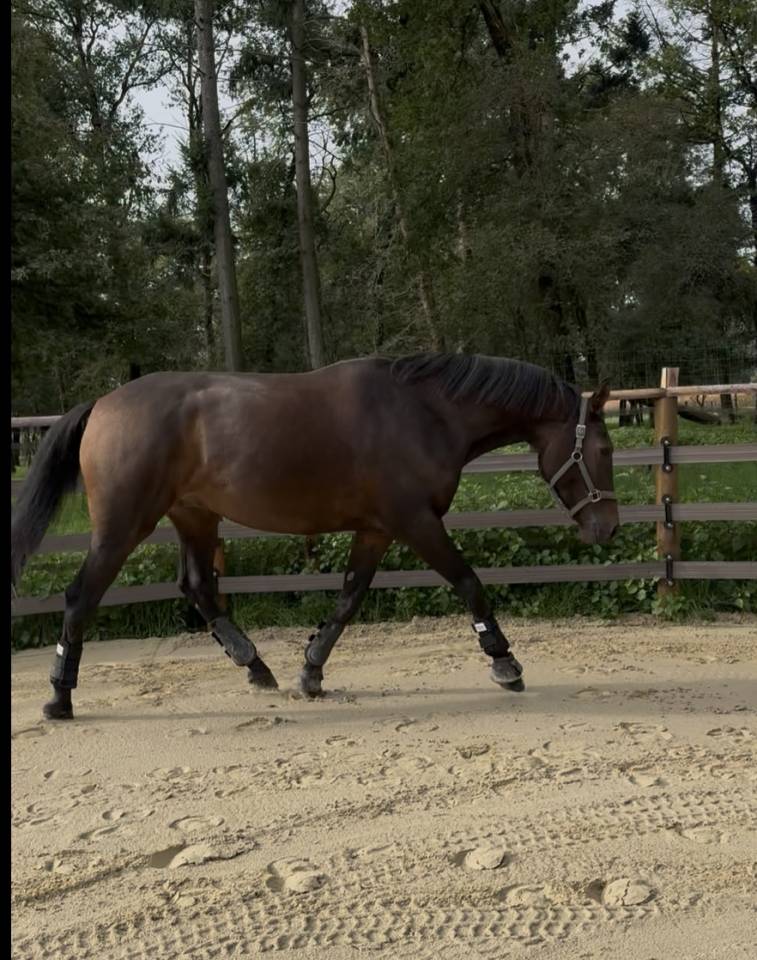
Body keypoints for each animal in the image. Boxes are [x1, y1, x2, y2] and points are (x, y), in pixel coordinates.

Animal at [11, 353, 618, 720]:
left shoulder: (376, 530)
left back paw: (257, 667)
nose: (607, 527)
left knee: (198, 587)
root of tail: (102, 404)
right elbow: (469, 582)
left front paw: (311, 672)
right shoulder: (416, 521)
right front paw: (505, 664)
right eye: (603, 449)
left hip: (195, 517)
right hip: (122, 526)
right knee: (80, 596)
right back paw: (59, 697)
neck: (423, 412)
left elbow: (348, 600)